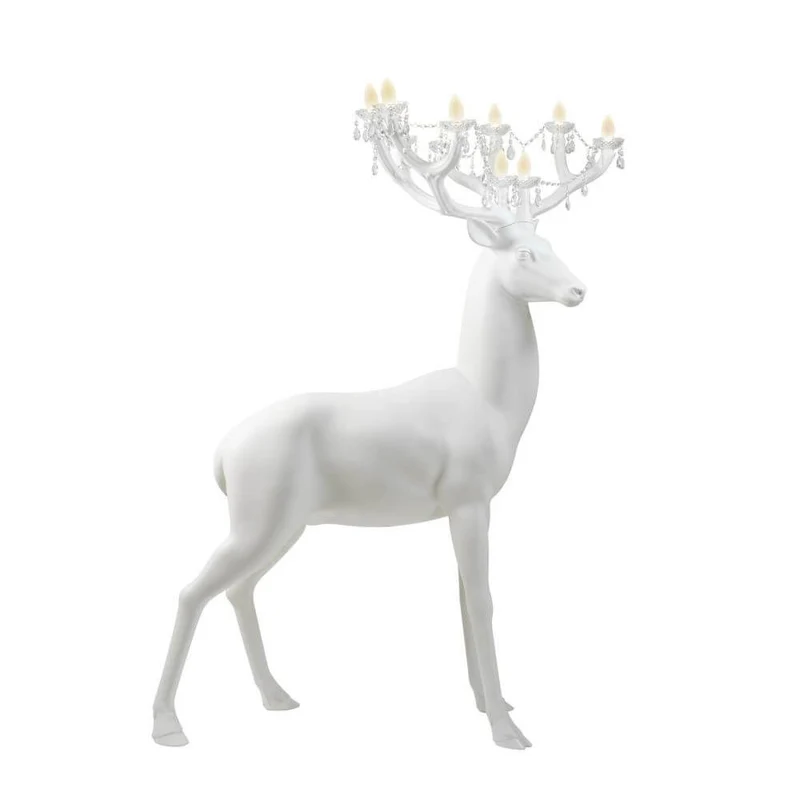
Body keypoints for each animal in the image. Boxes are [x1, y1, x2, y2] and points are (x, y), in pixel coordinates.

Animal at [152, 104, 623, 750]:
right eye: (525, 254)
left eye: (551, 242)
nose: (579, 289)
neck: (491, 403)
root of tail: (222, 455)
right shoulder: (469, 495)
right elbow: (483, 600)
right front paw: (507, 731)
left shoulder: (465, 505)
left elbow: (461, 599)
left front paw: (490, 701)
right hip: (256, 513)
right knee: (192, 589)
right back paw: (168, 724)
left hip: (286, 522)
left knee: (238, 589)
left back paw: (276, 696)